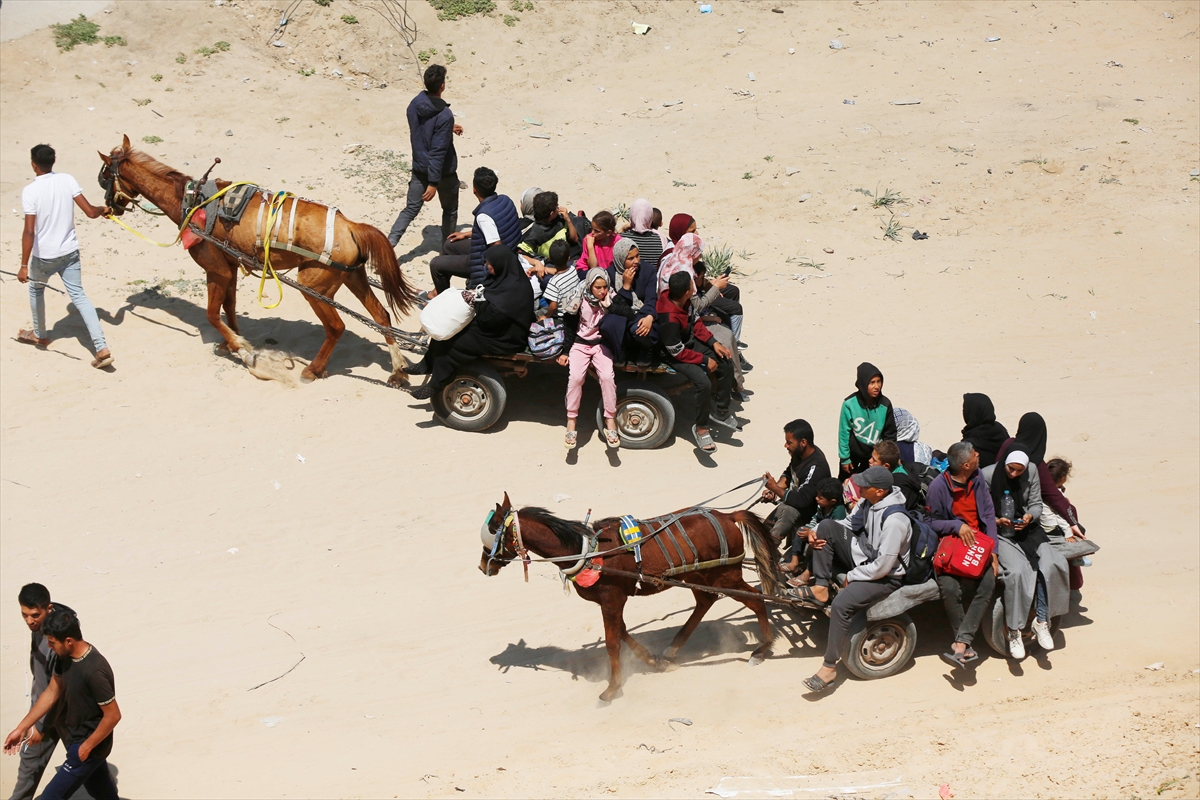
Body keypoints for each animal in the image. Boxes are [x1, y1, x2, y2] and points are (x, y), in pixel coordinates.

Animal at [99, 136, 417, 386]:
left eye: (103, 177)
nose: (109, 206)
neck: (192, 202)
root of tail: (351, 225)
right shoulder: (229, 267)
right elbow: (229, 307)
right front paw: (229, 341)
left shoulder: (215, 269)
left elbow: (212, 314)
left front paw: (242, 349)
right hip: (353, 276)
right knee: (381, 316)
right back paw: (398, 371)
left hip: (315, 287)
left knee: (337, 327)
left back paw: (314, 369)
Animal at [482, 491, 782, 705]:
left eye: (492, 535)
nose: (483, 565)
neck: (586, 551)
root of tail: (728, 516)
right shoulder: (613, 601)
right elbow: (623, 632)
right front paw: (653, 662)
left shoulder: (611, 598)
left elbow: (613, 642)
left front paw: (613, 688)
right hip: (697, 575)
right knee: (704, 602)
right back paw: (673, 650)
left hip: (725, 575)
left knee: (756, 600)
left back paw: (762, 649)